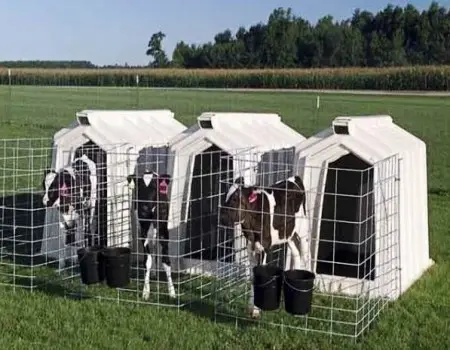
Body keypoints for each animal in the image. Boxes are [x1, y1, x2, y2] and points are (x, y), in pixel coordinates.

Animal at [127, 169, 177, 298]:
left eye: (155, 187)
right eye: (139, 187)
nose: (144, 208)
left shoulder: (164, 231)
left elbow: (166, 261)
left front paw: (172, 292)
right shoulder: (143, 232)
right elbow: (147, 261)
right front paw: (145, 291)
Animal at [221, 175, 312, 318]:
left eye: (235, 199)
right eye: (225, 196)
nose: (222, 218)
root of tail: (294, 178)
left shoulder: (263, 248)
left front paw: (257, 310)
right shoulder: (250, 247)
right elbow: (252, 277)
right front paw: (252, 307)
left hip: (303, 231)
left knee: (306, 257)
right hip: (288, 234)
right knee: (296, 254)